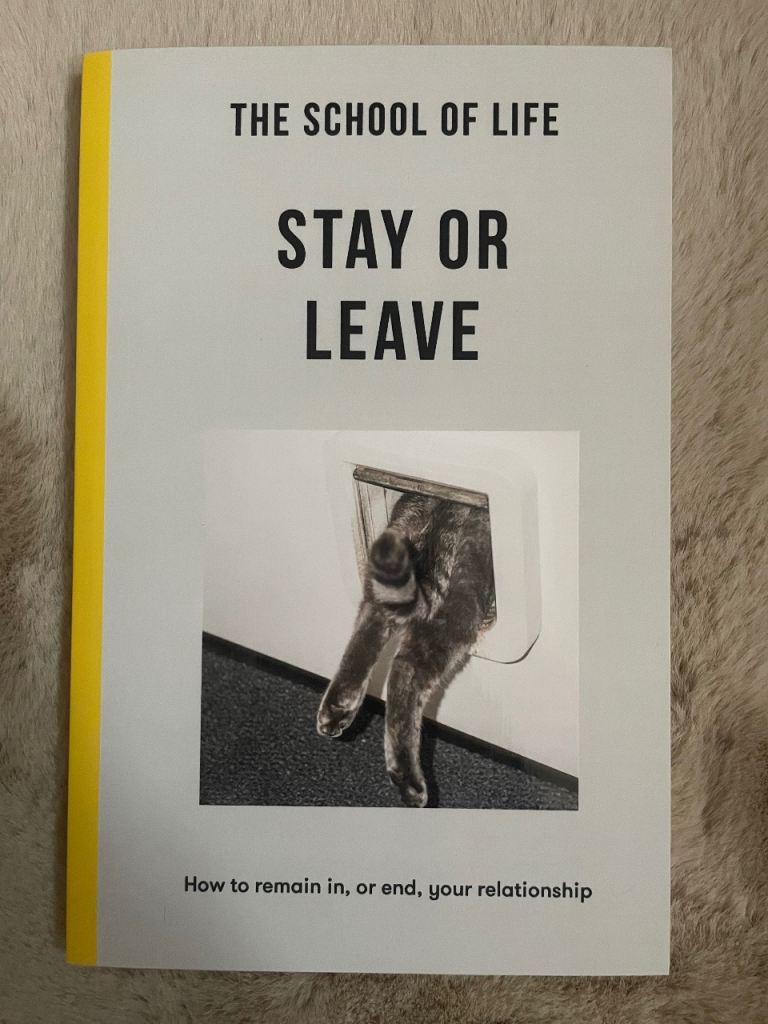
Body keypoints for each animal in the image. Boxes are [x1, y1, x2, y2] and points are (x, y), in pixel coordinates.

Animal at [317, 491, 496, 807]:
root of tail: (445, 505)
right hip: (465, 595)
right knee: (407, 667)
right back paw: (409, 782)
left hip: (389, 559)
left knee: (370, 626)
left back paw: (337, 710)